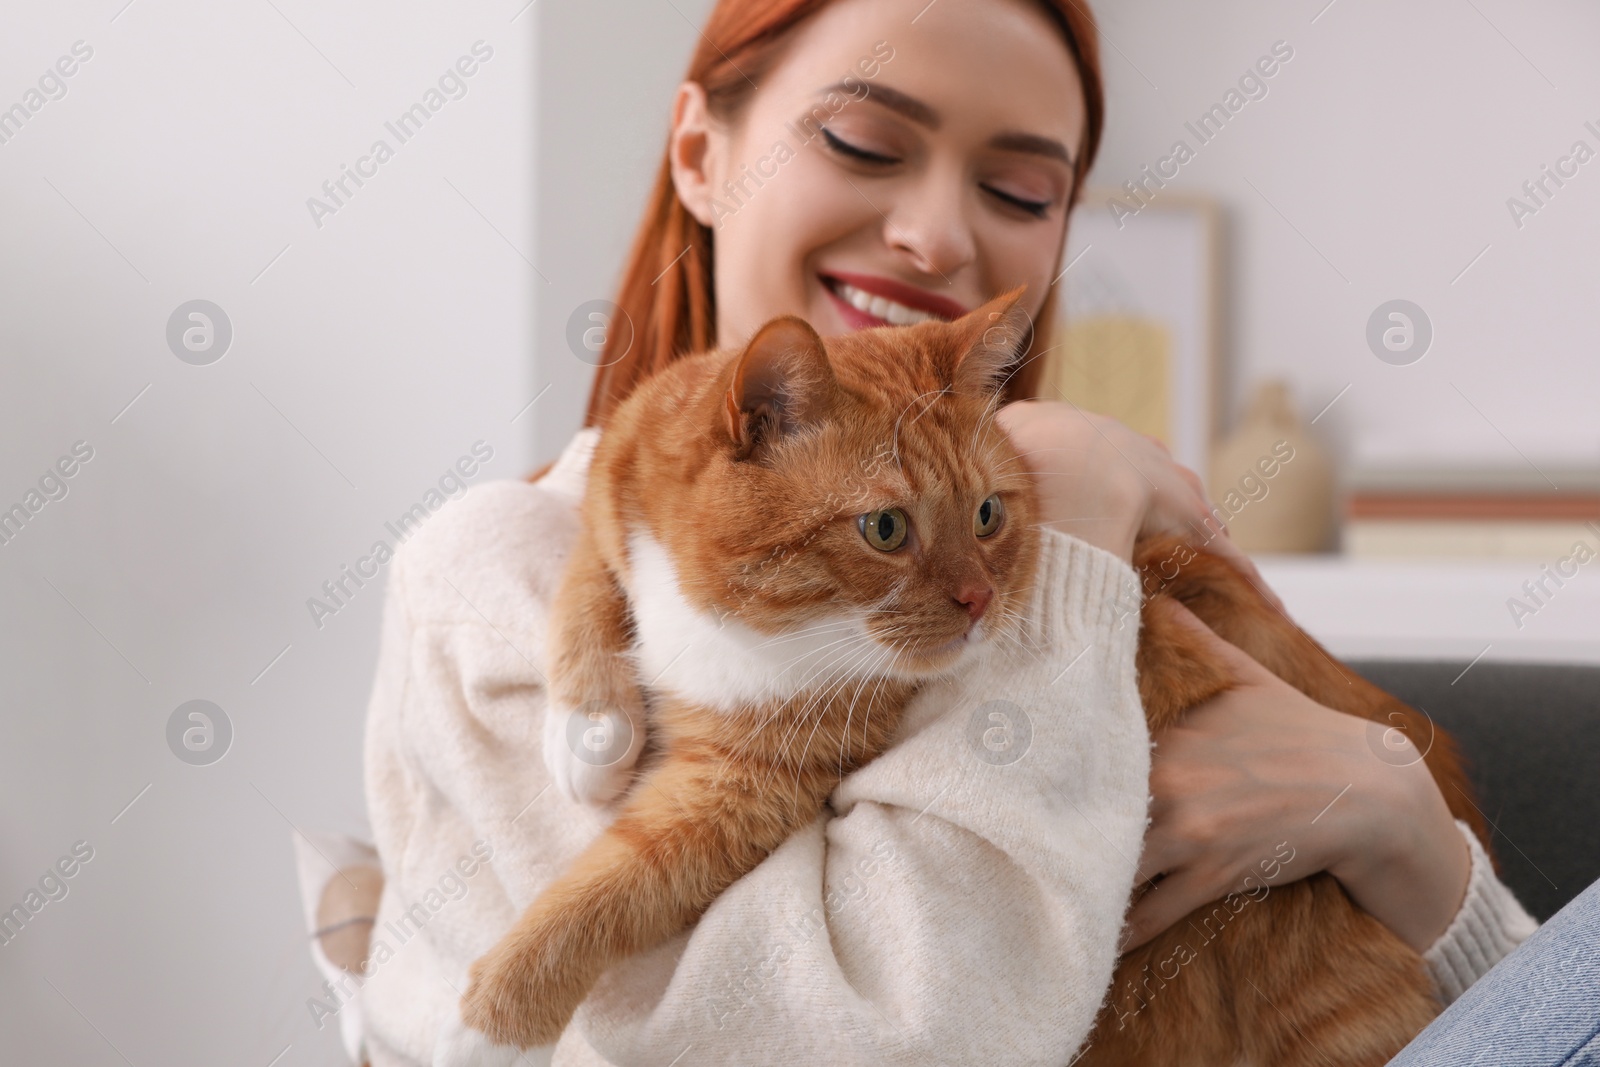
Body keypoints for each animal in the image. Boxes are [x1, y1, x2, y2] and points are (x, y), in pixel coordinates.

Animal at [454, 289, 1049, 1049]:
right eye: (885, 528)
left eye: (987, 515)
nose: (980, 599)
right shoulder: (611, 496)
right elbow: (588, 582)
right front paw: (590, 728)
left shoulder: (747, 787)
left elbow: (612, 889)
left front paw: (490, 1021)